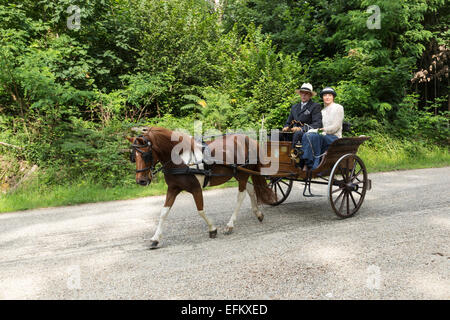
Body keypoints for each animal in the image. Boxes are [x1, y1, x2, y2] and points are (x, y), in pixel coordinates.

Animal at [125, 126, 276, 249]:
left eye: (146, 155)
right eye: (133, 157)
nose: (141, 181)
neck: (181, 160)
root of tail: (249, 139)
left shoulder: (196, 189)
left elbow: (200, 210)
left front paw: (212, 229)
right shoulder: (173, 189)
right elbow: (163, 213)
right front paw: (155, 239)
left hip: (243, 174)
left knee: (241, 195)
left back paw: (230, 225)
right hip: (238, 174)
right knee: (250, 190)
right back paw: (258, 214)